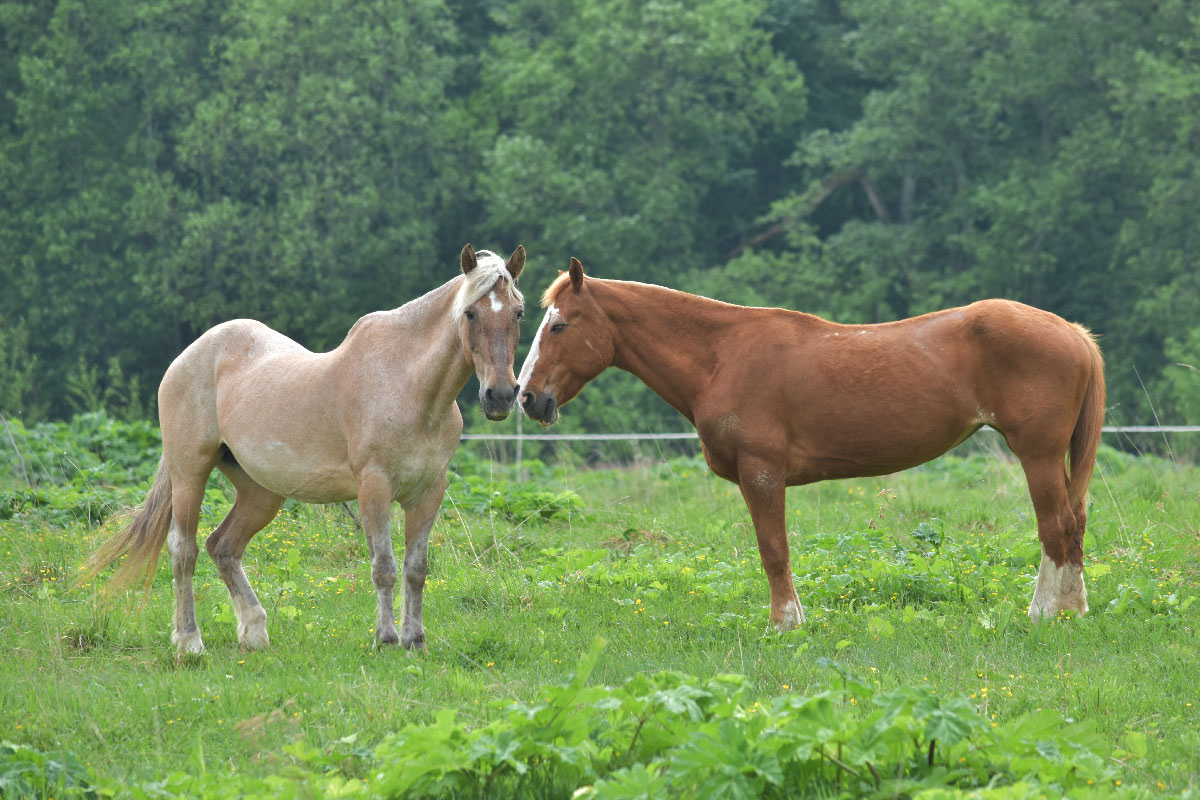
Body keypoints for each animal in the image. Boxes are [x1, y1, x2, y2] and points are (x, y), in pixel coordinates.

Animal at [77, 247, 523, 652]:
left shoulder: (429, 492)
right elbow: (384, 568)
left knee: (223, 546)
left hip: (260, 493)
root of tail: (189, 356)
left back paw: (255, 633)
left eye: (518, 313)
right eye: (470, 314)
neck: (407, 387)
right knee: (184, 550)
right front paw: (386, 639)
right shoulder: (374, 487)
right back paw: (190, 642)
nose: (501, 395)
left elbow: (416, 569)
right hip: (190, 472)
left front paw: (415, 640)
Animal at [520, 261, 1099, 633]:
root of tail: (1072, 332)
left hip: (1038, 456)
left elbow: (774, 551)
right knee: (1073, 527)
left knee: (1055, 528)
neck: (721, 356)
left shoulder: (762, 474)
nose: (526, 396)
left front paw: (785, 623)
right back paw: (1072, 609)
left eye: (559, 325)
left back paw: (1044, 614)